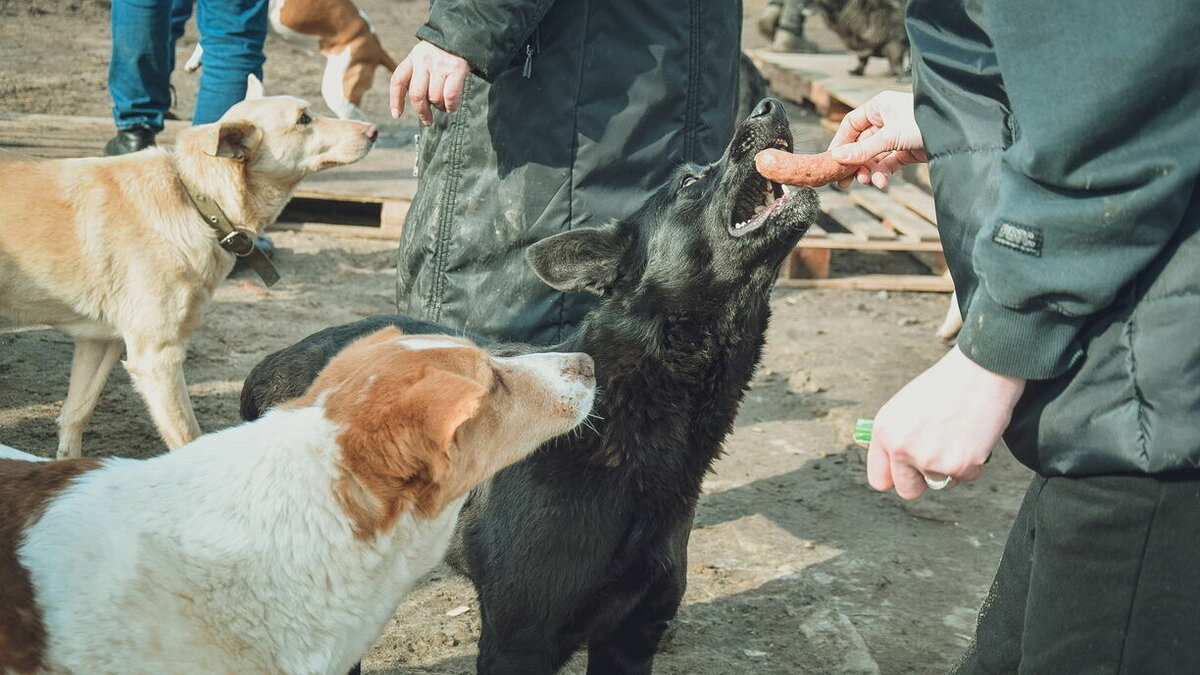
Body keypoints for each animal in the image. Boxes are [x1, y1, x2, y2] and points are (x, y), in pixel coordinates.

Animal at [0, 84, 376, 456]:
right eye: (303, 119)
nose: (373, 130)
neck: (197, 199)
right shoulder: (157, 359)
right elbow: (187, 439)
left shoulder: (99, 341)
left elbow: (76, 414)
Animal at [240, 97, 820, 667]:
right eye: (690, 182)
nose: (770, 105)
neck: (621, 416)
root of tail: (271, 363)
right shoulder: (520, 641)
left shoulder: (631, 636)